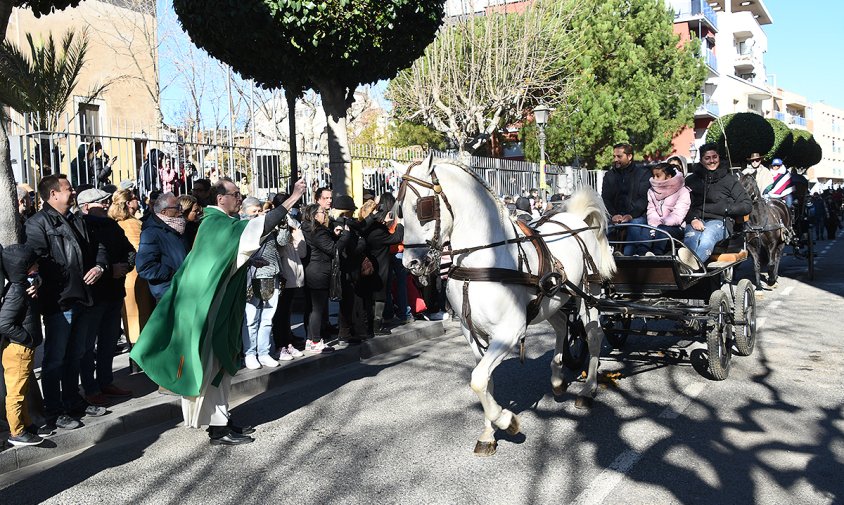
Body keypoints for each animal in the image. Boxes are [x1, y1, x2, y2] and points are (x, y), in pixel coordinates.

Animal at [398, 156, 616, 454]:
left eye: (423, 207)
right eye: (398, 209)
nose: (410, 263)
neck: (482, 261)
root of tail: (574, 219)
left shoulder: (510, 331)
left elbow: (478, 379)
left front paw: (506, 420)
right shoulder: (471, 333)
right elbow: (485, 381)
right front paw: (488, 433)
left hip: (587, 295)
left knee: (593, 335)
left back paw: (588, 390)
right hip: (551, 301)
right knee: (562, 327)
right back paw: (557, 379)